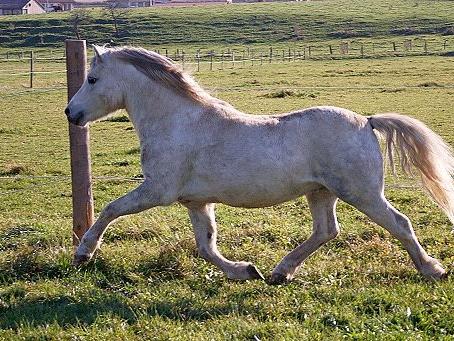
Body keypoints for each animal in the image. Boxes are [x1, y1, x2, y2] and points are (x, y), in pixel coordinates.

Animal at [66, 45, 454, 282]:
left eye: (92, 79)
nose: (71, 113)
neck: (177, 121)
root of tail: (367, 121)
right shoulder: (196, 202)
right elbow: (206, 246)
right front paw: (245, 270)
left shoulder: (157, 191)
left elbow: (110, 210)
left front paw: (84, 253)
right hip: (321, 192)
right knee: (326, 231)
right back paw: (280, 273)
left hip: (362, 193)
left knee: (399, 223)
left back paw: (433, 270)